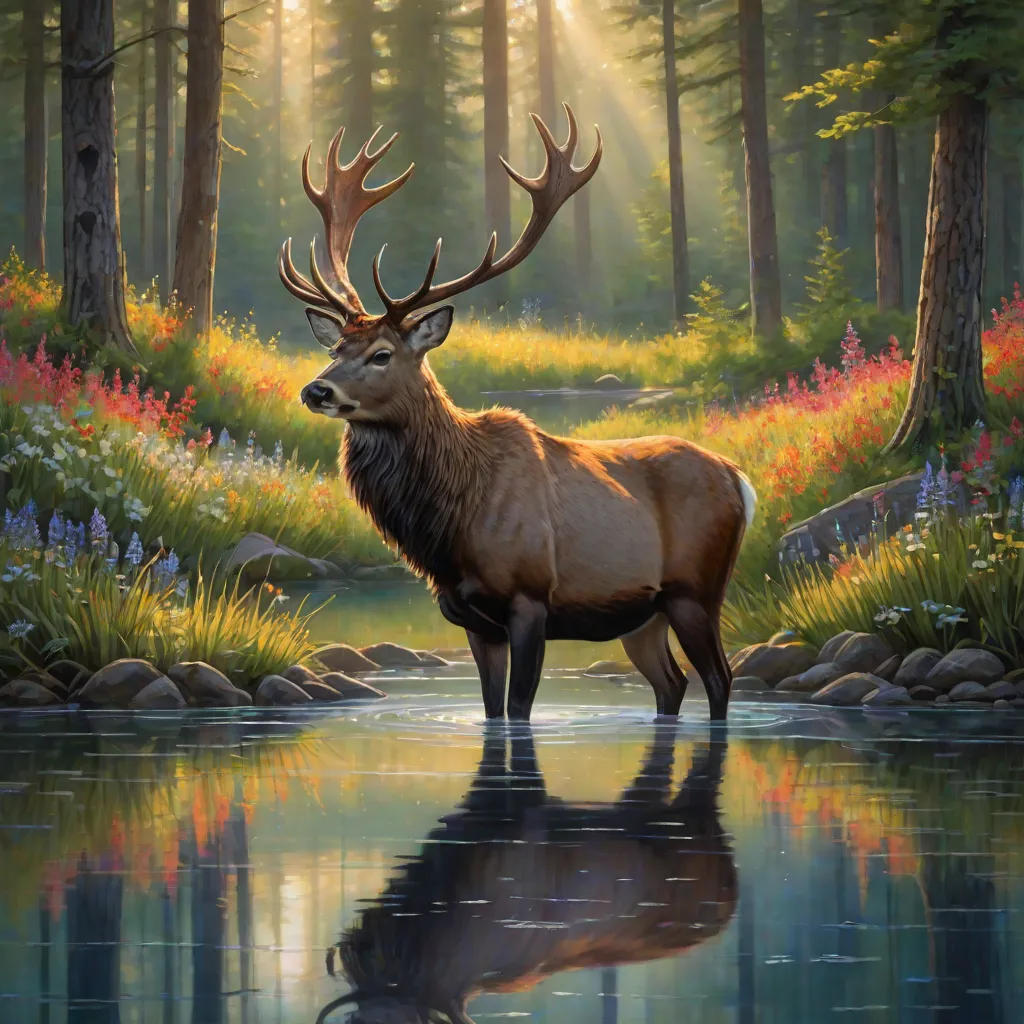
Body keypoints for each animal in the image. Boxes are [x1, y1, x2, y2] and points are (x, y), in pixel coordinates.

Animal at [279, 104, 756, 723]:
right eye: (336, 348)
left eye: (382, 354)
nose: (316, 390)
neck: (451, 524)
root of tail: (739, 479)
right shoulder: (470, 618)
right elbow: (492, 710)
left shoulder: (530, 599)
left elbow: (521, 709)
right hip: (641, 614)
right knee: (671, 683)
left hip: (696, 588)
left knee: (720, 679)